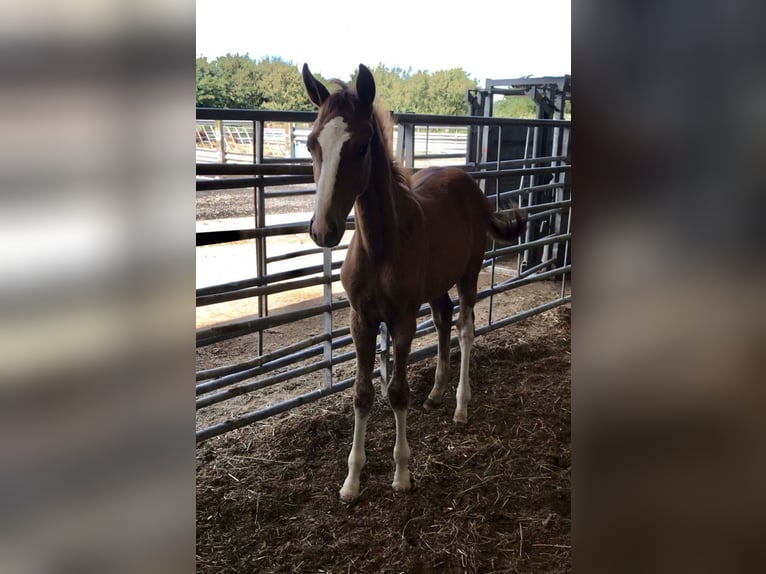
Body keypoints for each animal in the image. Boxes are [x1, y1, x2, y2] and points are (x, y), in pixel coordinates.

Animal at [302, 63, 527, 502]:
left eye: (361, 148)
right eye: (311, 144)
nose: (323, 229)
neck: (380, 245)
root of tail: (470, 186)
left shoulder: (402, 320)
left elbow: (397, 392)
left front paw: (402, 474)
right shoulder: (360, 320)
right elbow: (362, 394)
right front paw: (351, 482)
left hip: (469, 274)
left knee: (465, 328)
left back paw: (460, 405)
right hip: (437, 286)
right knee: (442, 320)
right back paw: (437, 393)